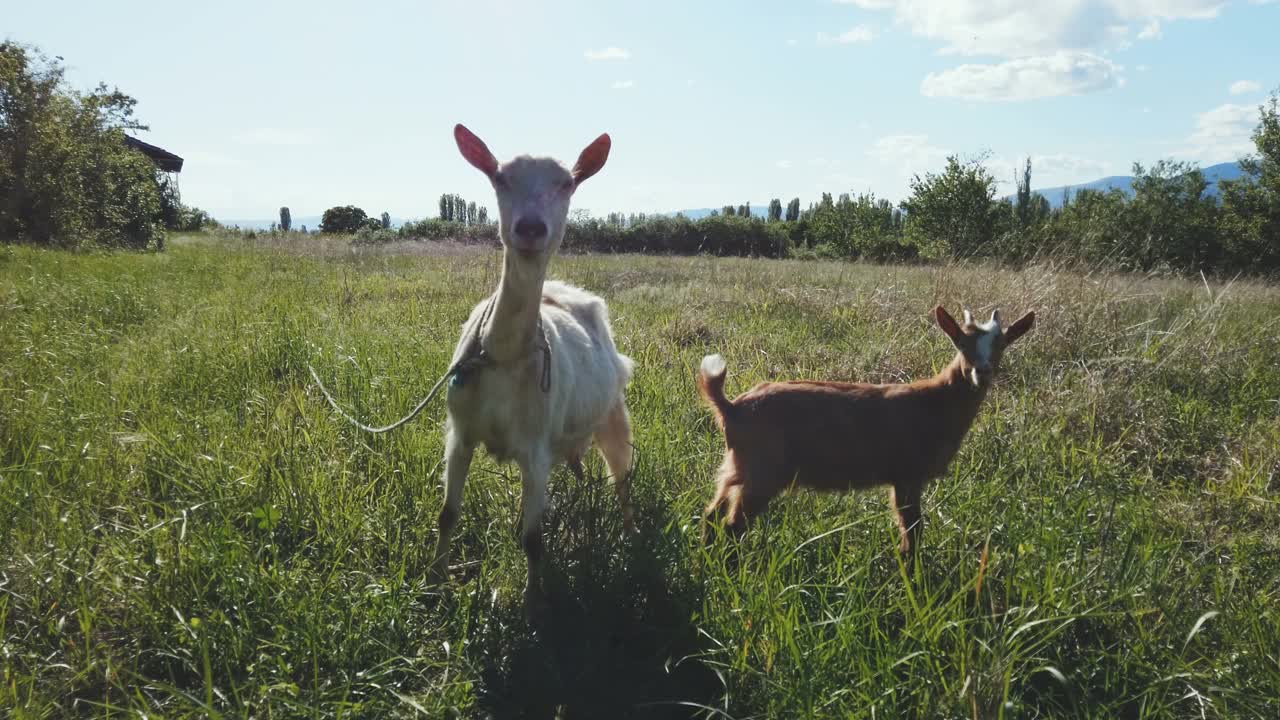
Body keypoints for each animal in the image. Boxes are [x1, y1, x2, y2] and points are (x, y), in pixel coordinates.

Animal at [430, 124, 634, 599]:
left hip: (612, 408)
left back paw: (635, 538)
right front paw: (432, 582)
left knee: (622, 476)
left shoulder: (535, 448)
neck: (501, 354)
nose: (530, 227)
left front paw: (534, 601)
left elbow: (533, 539)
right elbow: (447, 514)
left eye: (567, 183)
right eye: (499, 177)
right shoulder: (460, 433)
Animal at [696, 302, 1034, 556]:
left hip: (737, 466)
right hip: (763, 471)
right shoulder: (907, 473)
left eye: (1002, 345)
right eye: (962, 343)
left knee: (713, 513)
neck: (935, 401)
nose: (982, 372)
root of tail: (731, 407)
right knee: (733, 526)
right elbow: (913, 531)